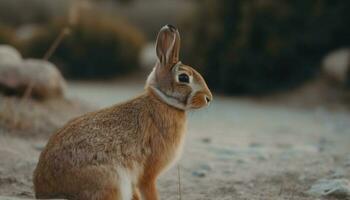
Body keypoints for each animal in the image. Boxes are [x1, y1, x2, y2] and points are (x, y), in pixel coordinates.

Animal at [34, 25, 212, 200]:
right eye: (183, 78)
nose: (208, 98)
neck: (163, 100)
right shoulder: (148, 172)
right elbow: (149, 190)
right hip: (112, 180)